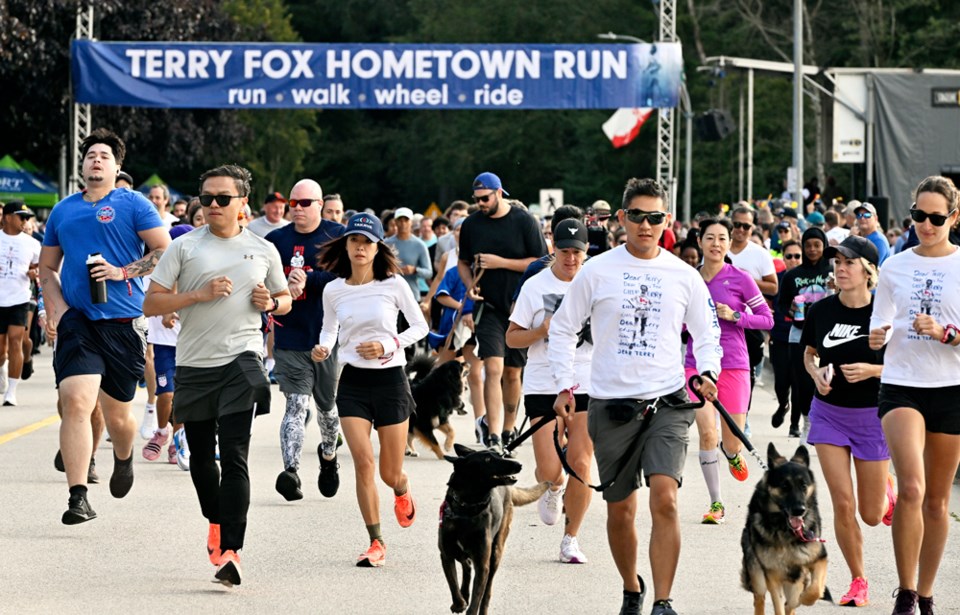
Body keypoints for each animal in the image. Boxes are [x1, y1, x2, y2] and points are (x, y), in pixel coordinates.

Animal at [440, 446, 548, 612]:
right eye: (487, 460)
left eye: (499, 455)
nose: (519, 465)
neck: (467, 510)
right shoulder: (446, 556)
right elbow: (453, 584)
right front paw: (459, 603)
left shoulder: (482, 565)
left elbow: (475, 602)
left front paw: (467, 604)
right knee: (466, 565)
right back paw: (464, 594)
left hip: (496, 553)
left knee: (487, 593)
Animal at [740, 446, 828, 615]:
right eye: (785, 487)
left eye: (804, 486)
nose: (800, 510)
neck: (784, 530)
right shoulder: (772, 575)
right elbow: (780, 605)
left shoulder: (819, 559)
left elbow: (813, 590)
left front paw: (804, 598)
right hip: (757, 574)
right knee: (759, 599)